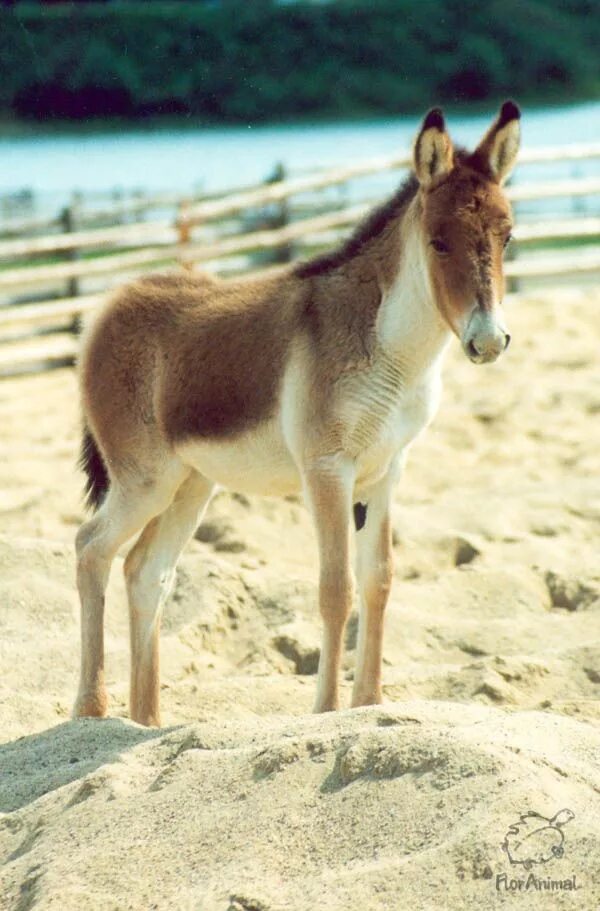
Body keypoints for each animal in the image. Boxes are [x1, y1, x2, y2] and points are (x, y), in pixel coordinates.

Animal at [76, 101, 520, 728]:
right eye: (438, 243)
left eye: (508, 236)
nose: (489, 342)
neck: (388, 349)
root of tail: (110, 306)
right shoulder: (328, 468)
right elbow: (337, 588)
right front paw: (327, 709)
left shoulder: (386, 471)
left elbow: (379, 580)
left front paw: (370, 704)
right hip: (144, 480)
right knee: (90, 548)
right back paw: (90, 712)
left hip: (191, 484)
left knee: (144, 572)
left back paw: (145, 723)